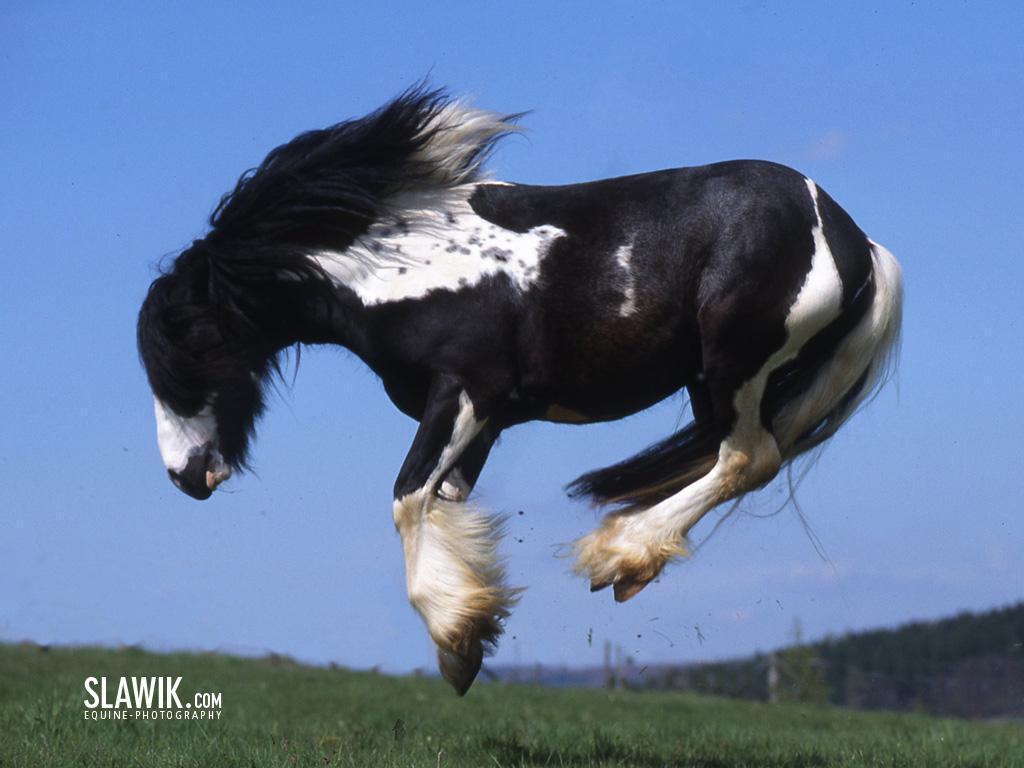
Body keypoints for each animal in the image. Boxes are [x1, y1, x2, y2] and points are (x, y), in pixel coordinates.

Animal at [137, 86, 902, 695]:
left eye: (187, 350)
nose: (184, 476)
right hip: (710, 384)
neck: (399, 264)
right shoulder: (487, 419)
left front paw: (457, 639)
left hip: (737, 365)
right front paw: (470, 633)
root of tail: (859, 243)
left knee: (748, 459)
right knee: (726, 459)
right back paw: (629, 559)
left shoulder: (466, 392)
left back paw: (617, 556)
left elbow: (406, 497)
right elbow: (443, 502)